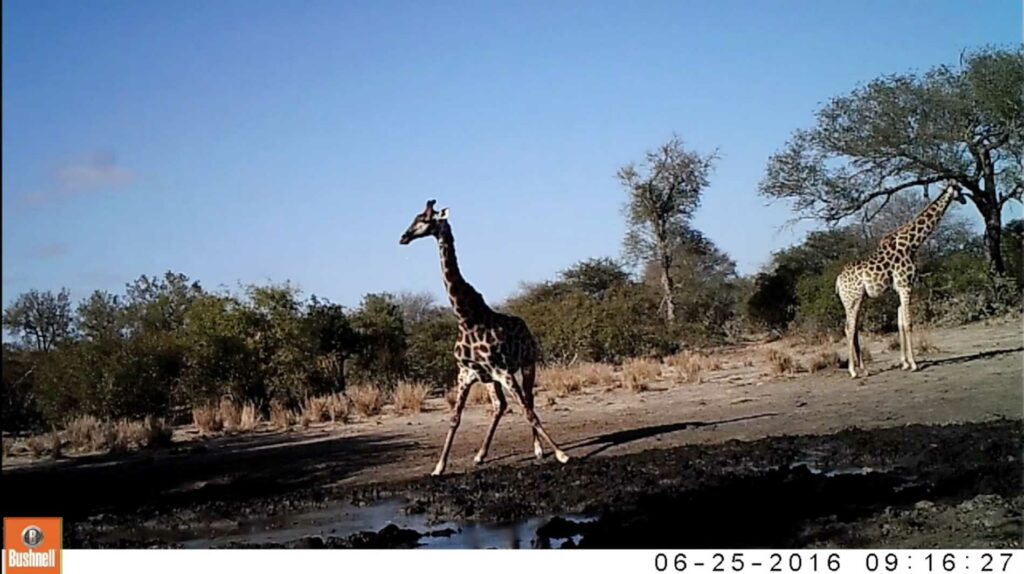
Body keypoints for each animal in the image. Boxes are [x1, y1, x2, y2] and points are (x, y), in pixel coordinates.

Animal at [399, 199, 571, 476]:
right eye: (415, 217)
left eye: (425, 219)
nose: (403, 237)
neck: (466, 318)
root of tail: (526, 325)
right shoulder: (466, 374)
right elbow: (454, 418)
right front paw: (438, 467)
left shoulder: (503, 370)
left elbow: (528, 412)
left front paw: (561, 454)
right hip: (490, 379)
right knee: (500, 406)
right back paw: (480, 455)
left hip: (527, 365)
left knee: (529, 402)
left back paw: (537, 450)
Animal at [835, 180, 967, 378]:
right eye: (959, 189)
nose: (964, 200)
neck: (912, 244)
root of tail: (838, 281)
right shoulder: (906, 285)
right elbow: (909, 323)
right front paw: (913, 364)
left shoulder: (899, 288)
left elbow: (901, 322)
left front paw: (904, 363)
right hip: (853, 298)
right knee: (850, 328)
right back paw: (853, 371)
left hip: (854, 299)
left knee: (852, 327)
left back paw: (863, 369)